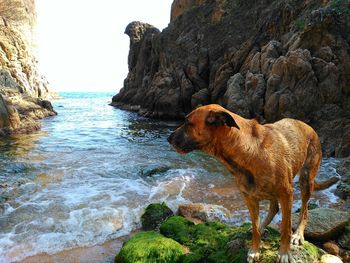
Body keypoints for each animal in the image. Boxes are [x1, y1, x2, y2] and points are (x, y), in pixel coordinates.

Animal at [168, 104, 338, 263]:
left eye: (188, 123)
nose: (168, 138)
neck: (247, 150)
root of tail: (309, 127)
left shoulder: (286, 195)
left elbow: (286, 227)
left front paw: (284, 252)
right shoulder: (249, 198)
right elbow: (256, 228)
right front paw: (255, 249)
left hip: (306, 179)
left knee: (304, 210)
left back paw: (298, 234)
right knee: (273, 208)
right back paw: (263, 226)